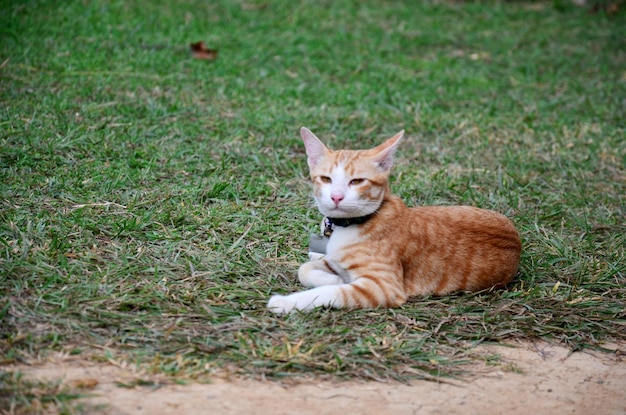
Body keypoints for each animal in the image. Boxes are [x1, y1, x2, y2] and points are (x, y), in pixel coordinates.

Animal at [266, 127, 520, 316]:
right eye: (326, 179)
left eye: (357, 181)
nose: (336, 197)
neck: (348, 225)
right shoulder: (332, 258)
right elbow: (305, 268)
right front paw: (333, 278)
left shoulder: (384, 287)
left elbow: (332, 292)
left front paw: (288, 302)